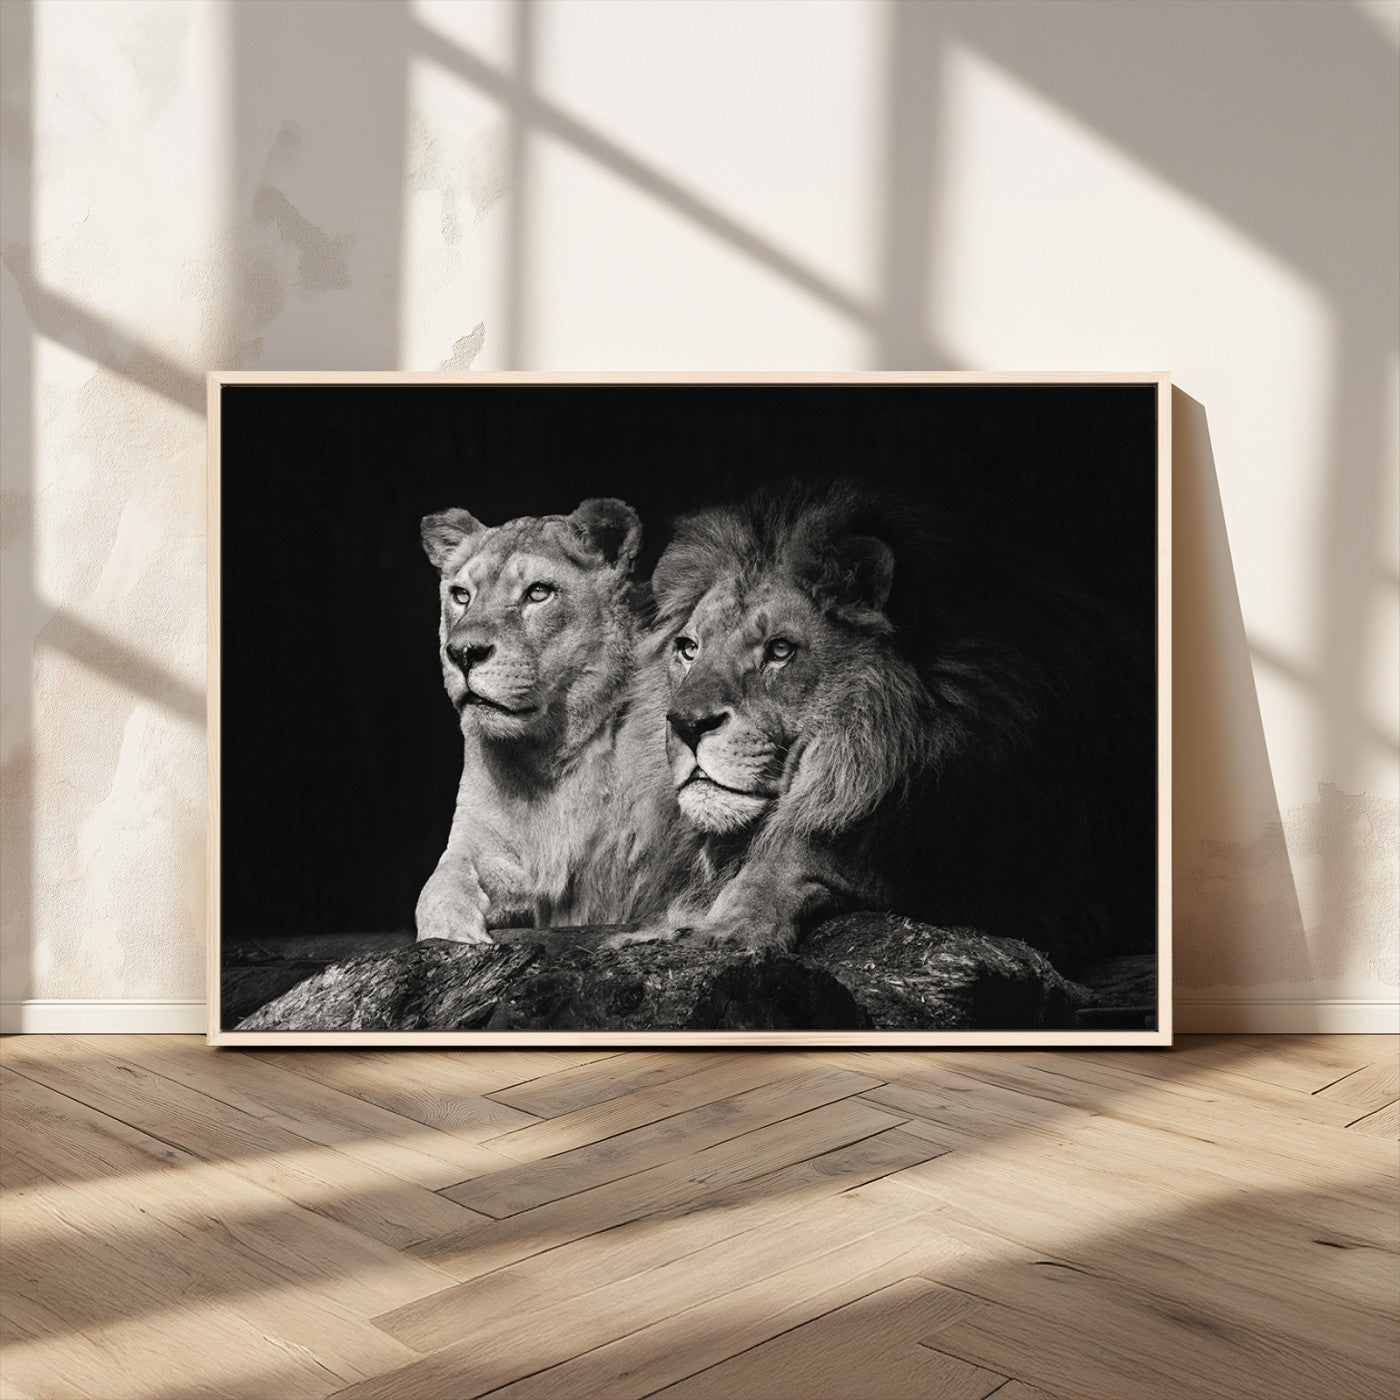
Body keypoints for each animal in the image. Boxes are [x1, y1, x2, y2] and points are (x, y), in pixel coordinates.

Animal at [415, 497, 699, 943]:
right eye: (461, 595)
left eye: (538, 593)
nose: (461, 652)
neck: (547, 756)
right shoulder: (478, 842)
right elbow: (437, 887)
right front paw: (453, 933)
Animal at [648, 479, 1156, 973]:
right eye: (688, 649)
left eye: (780, 650)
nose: (687, 724)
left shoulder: (1039, 889)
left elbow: (805, 846)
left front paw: (726, 924)